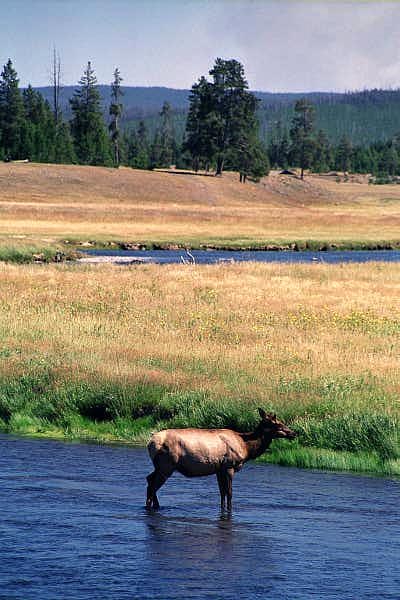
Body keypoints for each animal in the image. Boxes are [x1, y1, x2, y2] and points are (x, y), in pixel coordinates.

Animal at [145, 408, 296, 510]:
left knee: (149, 479)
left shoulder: (219, 469)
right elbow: (229, 493)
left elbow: (222, 492)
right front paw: (229, 510)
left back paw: (155, 505)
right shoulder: (229, 466)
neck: (247, 448)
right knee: (153, 485)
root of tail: (150, 443)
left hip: (160, 466)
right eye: (277, 424)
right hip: (167, 465)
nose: (293, 433)